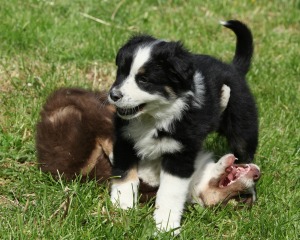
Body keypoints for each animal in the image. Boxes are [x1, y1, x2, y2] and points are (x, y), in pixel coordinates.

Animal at [107, 19, 258, 233]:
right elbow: (124, 175)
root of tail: (233, 68)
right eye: (121, 73)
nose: (114, 95)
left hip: (243, 126)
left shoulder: (180, 152)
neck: (153, 118)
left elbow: (170, 191)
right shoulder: (124, 139)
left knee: (246, 153)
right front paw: (122, 206)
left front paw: (166, 225)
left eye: (143, 80)